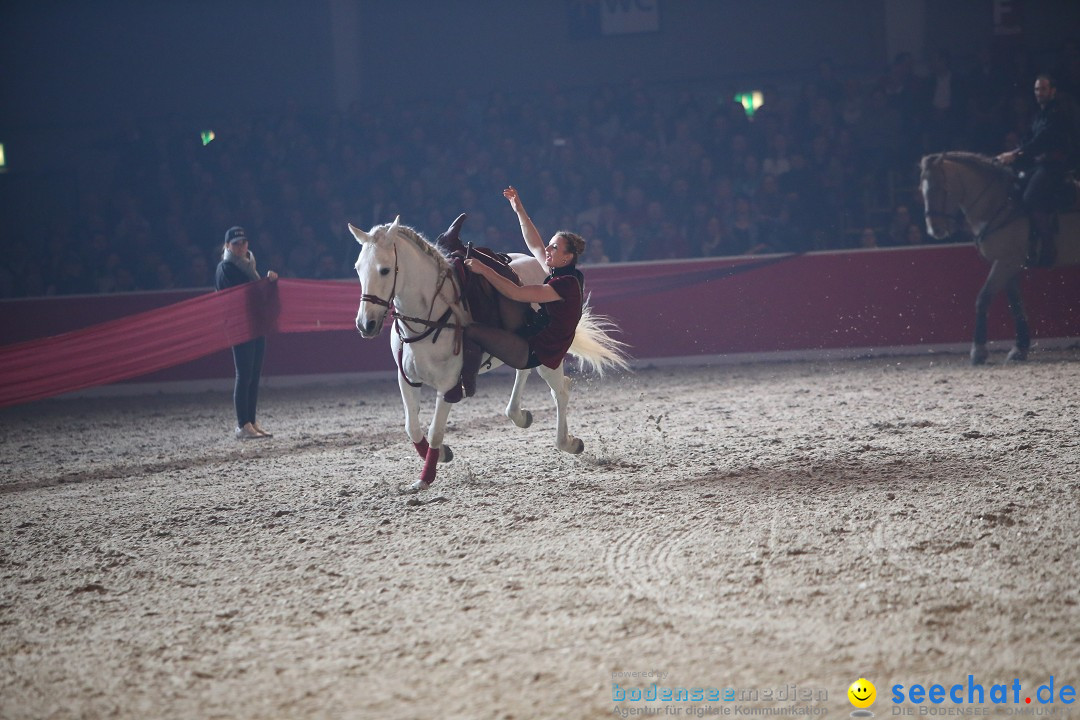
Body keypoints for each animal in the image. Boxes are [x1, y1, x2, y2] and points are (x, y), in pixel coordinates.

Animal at [349, 216, 630, 492]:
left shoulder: (448, 385)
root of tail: (540, 267)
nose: (365, 324)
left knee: (560, 390)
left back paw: (567, 441)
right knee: (524, 371)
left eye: (385, 270)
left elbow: (435, 431)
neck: (431, 315)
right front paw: (441, 454)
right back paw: (519, 415)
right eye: (358, 268)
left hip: (547, 358)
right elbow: (412, 427)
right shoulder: (407, 379)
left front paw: (426, 477)